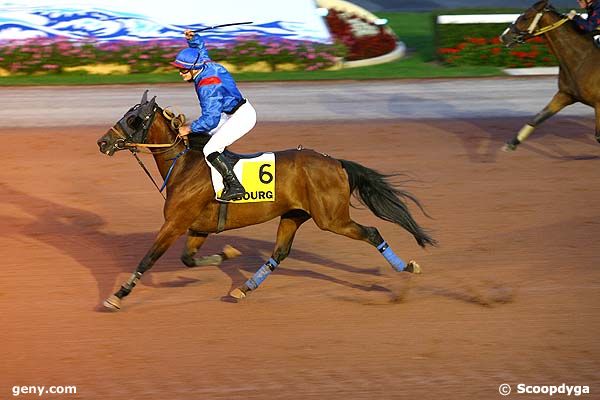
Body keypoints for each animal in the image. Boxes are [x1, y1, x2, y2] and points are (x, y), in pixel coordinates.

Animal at [97, 92, 436, 310]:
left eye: (133, 118)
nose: (103, 142)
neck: (184, 165)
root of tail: (335, 162)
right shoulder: (198, 227)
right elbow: (188, 259)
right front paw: (227, 254)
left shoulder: (175, 223)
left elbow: (148, 258)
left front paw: (119, 294)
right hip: (294, 215)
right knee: (280, 253)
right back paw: (244, 288)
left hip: (332, 219)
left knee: (372, 233)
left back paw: (407, 267)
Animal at [502, 0, 600, 150]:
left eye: (526, 17)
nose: (503, 36)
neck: (583, 59)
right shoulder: (565, 95)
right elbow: (538, 118)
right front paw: (512, 143)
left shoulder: (598, 105)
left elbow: (599, 136)